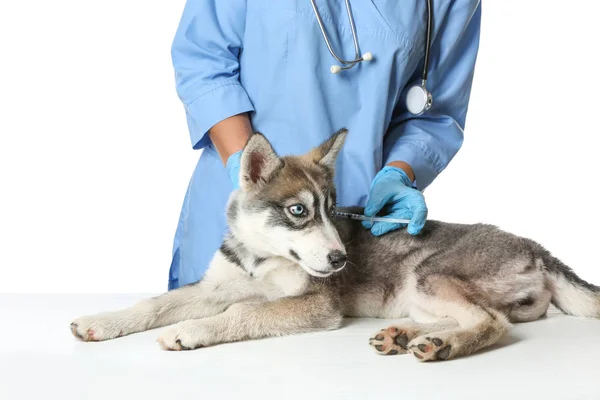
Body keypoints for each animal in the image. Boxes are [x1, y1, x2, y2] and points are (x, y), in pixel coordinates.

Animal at [71, 130, 600, 360]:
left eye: (331, 208)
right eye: (298, 211)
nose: (341, 259)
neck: (263, 260)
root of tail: (537, 247)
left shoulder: (316, 304)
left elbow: (243, 313)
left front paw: (194, 331)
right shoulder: (214, 287)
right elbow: (156, 304)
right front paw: (102, 321)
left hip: (429, 274)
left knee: (491, 322)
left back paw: (440, 345)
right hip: (419, 293)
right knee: (475, 315)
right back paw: (404, 335)